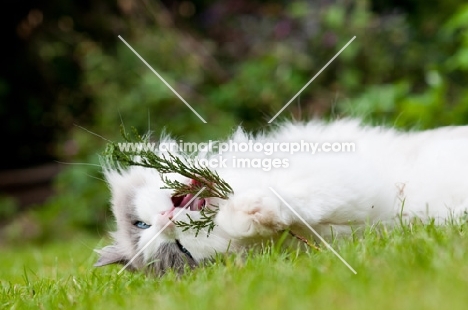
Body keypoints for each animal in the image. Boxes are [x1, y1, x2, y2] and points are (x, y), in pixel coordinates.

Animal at [94, 118, 468, 274]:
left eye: (139, 224)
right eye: (181, 250)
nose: (165, 220)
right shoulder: (351, 199)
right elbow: (296, 204)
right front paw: (252, 214)